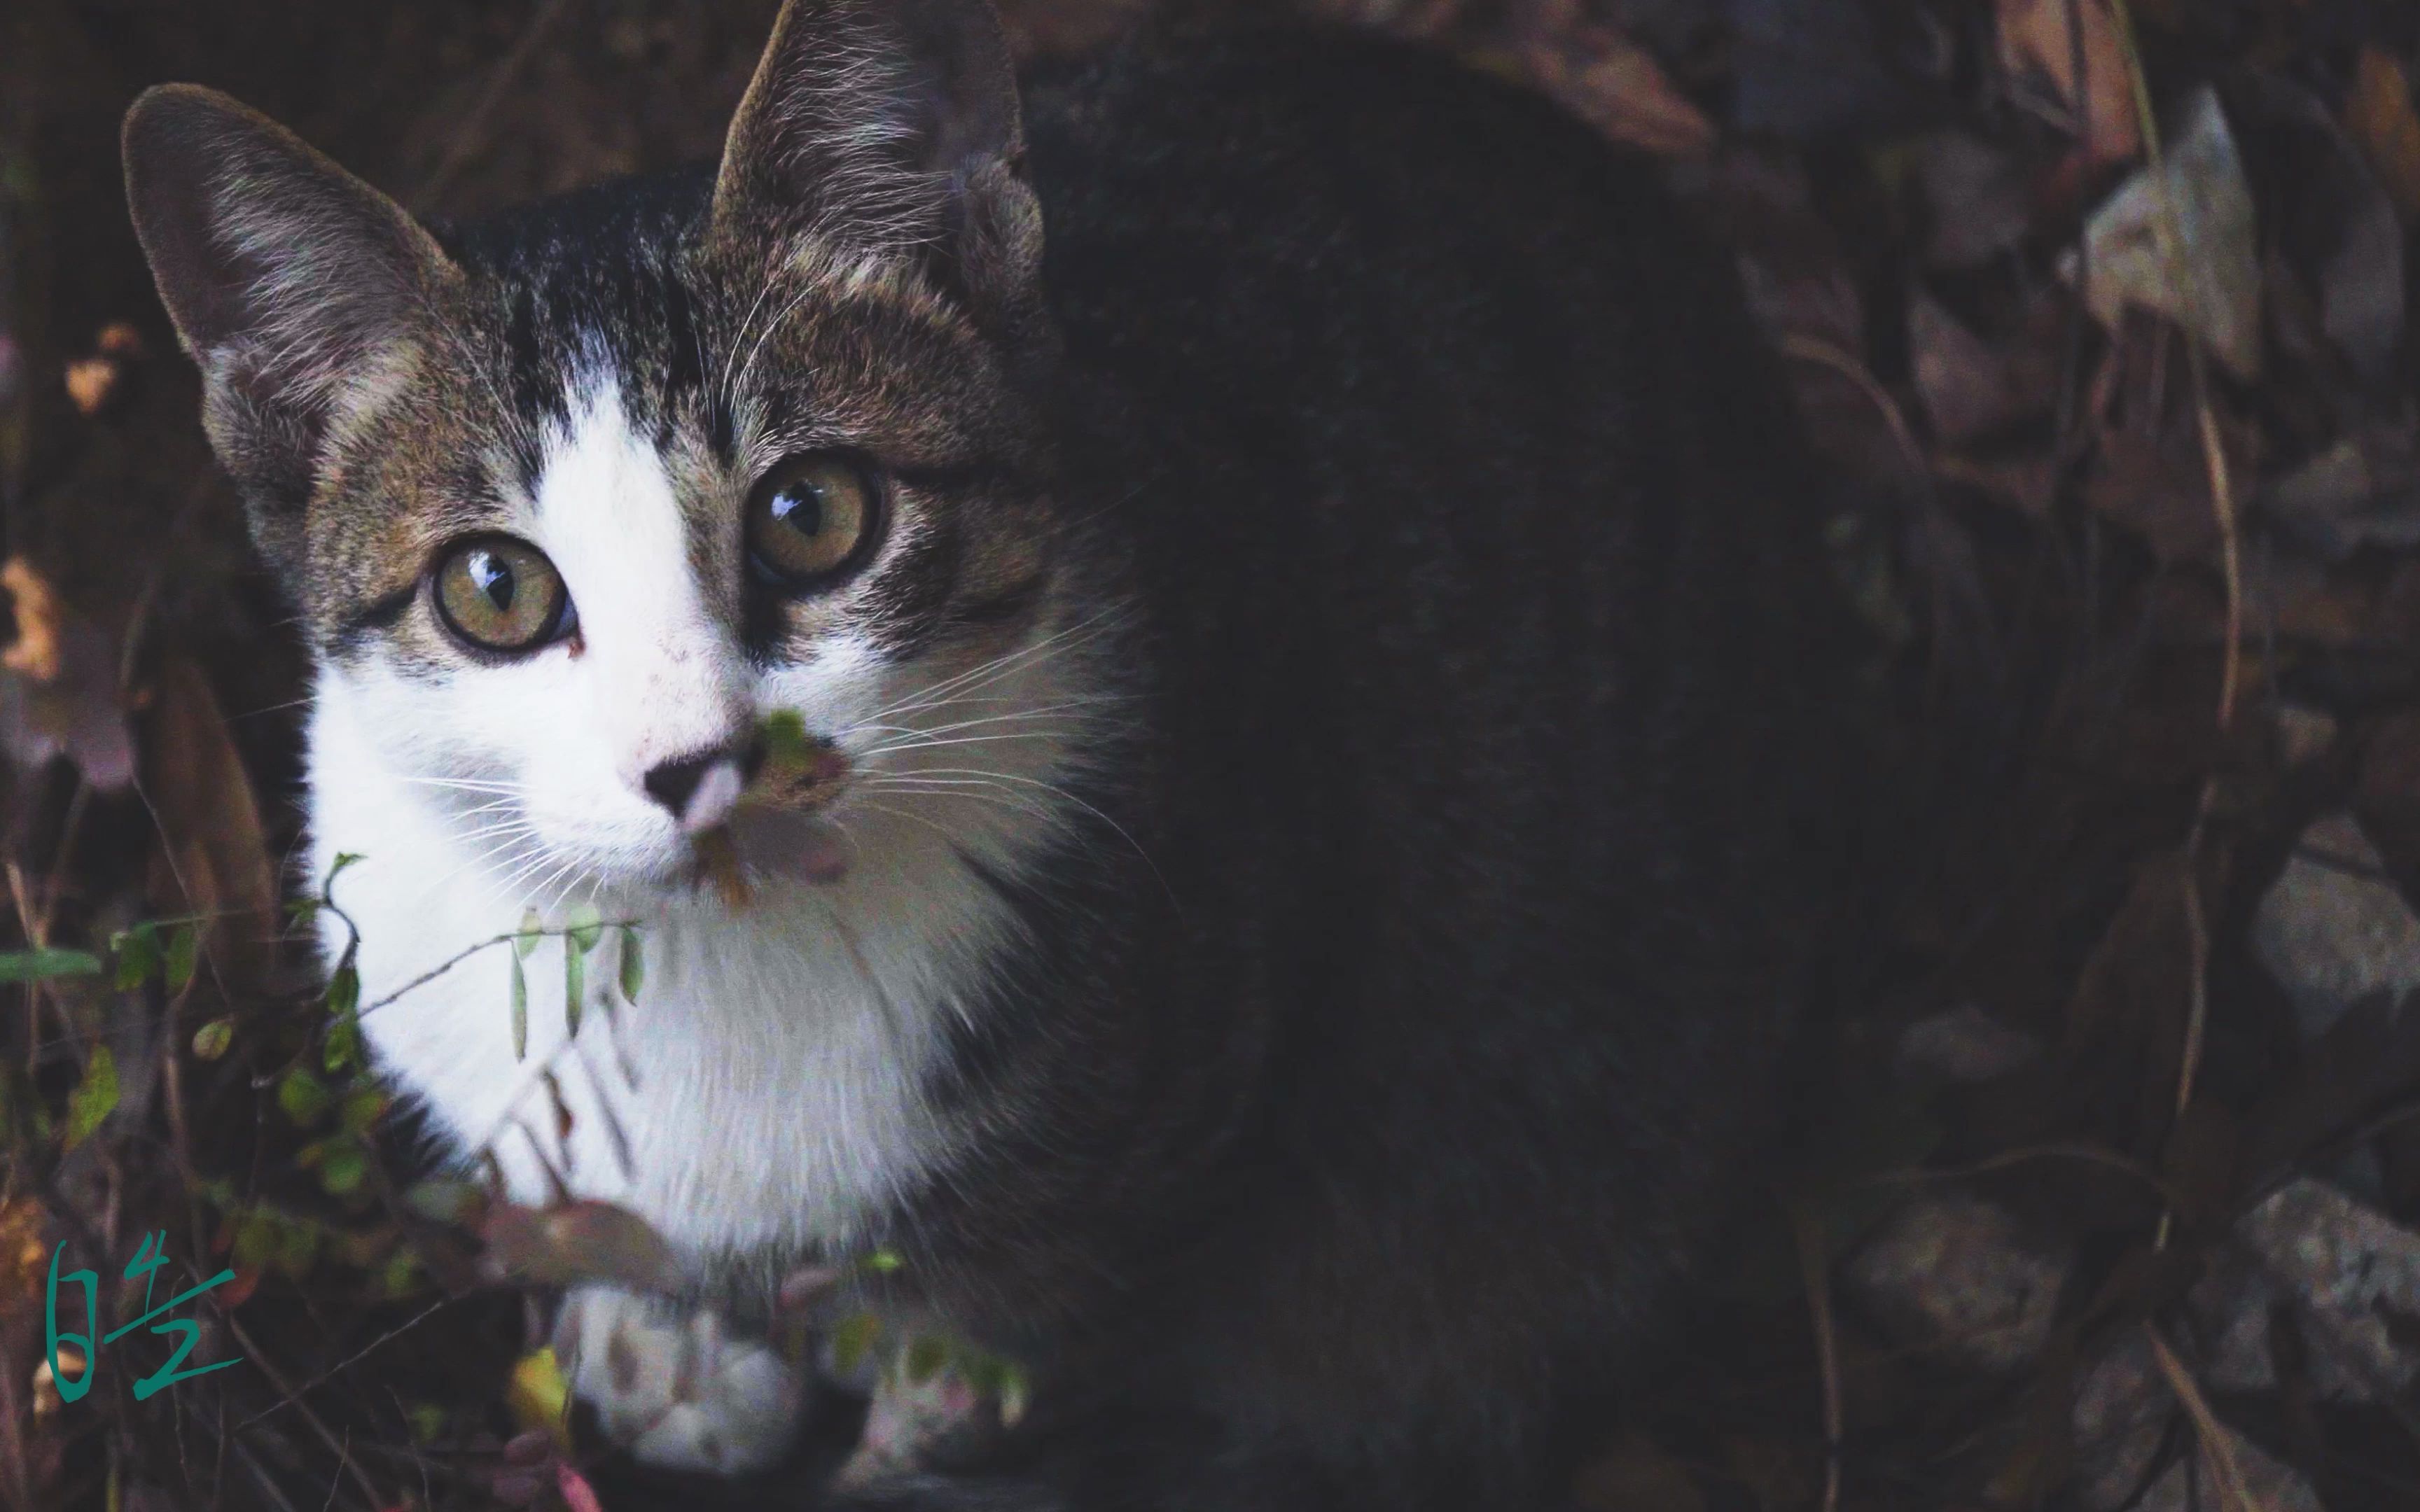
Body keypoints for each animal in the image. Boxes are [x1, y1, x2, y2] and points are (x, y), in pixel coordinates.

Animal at [118, 6, 1849, 1499]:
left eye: (814, 513)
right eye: (495, 591)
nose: (700, 764)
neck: (718, 974)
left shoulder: (1208, 1064)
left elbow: (1033, 1318)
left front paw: (920, 1413)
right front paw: (668, 1334)